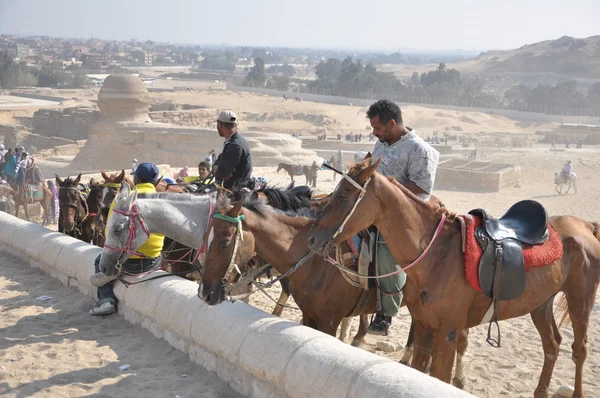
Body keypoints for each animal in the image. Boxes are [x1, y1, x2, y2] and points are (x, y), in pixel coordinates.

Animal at [308, 155, 600, 398]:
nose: (312, 238)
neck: (436, 254)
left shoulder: (448, 332)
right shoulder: (424, 326)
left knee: (579, 349)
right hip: (541, 303)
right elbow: (419, 371)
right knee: (552, 344)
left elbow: (440, 376)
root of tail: (585, 225)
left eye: (344, 196)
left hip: (580, 299)